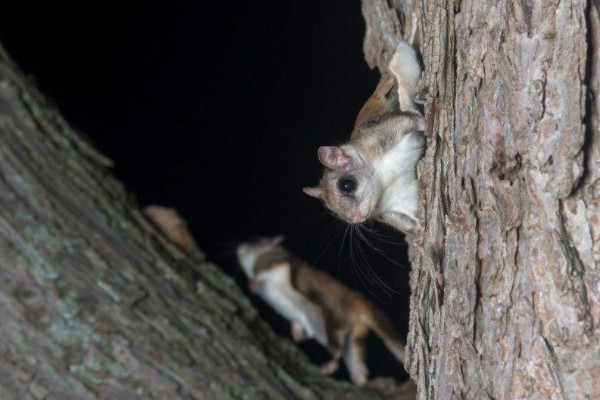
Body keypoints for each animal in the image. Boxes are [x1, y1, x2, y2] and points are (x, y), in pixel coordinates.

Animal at [237, 236, 406, 386]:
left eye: (255, 241)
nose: (239, 248)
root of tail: (359, 304)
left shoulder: (276, 262)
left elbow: (270, 270)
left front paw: (253, 284)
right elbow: (299, 328)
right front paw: (296, 332)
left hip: (332, 321)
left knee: (337, 349)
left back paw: (331, 365)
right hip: (355, 335)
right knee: (357, 362)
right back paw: (358, 380)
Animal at [302, 41, 424, 231]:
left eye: (347, 185)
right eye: (332, 211)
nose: (355, 218)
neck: (383, 179)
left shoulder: (383, 135)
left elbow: (412, 122)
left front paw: (427, 124)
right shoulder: (390, 211)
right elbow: (408, 223)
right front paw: (421, 228)